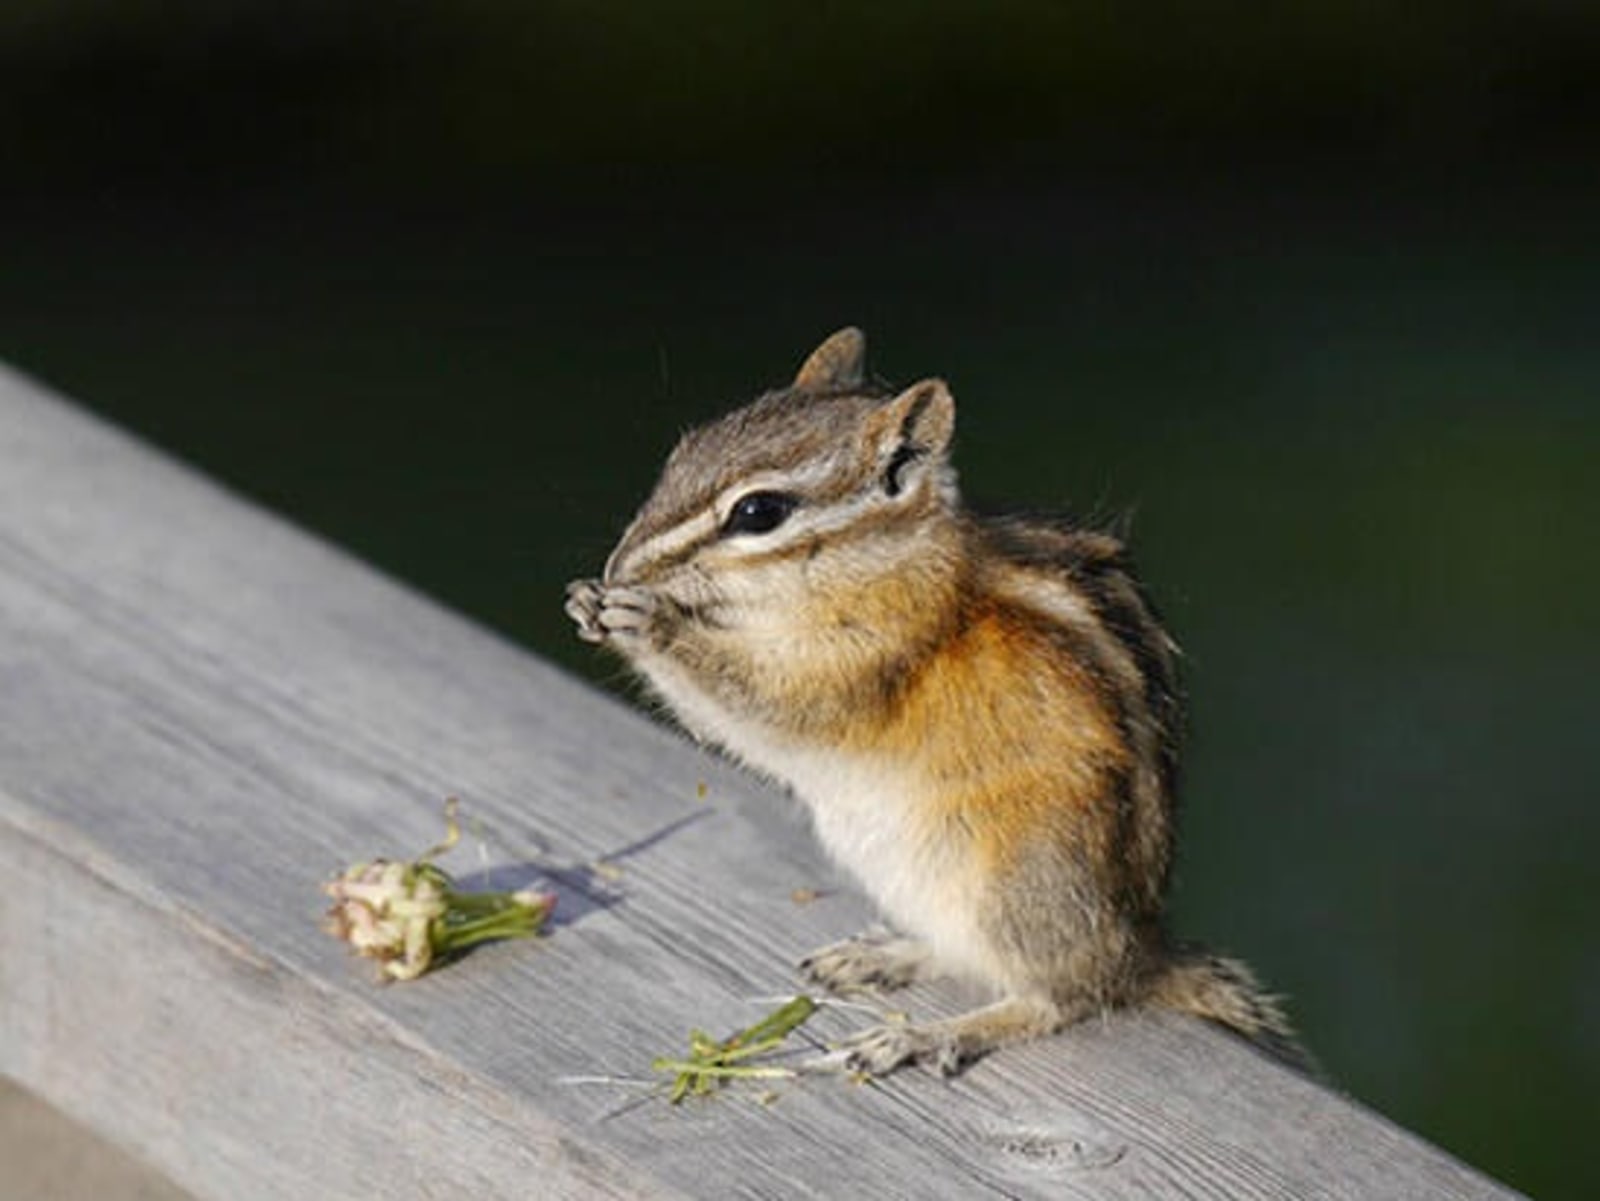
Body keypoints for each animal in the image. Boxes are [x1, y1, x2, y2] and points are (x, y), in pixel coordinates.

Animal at [565, 328, 1308, 1076]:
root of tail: (1137, 953)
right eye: (681, 454)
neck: (880, 563)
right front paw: (587, 601)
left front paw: (650, 621)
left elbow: (765, 705)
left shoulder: (867, 659)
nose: (619, 568)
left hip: (1018, 883)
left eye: (758, 512)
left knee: (1061, 998)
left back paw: (931, 1034)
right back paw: (884, 956)